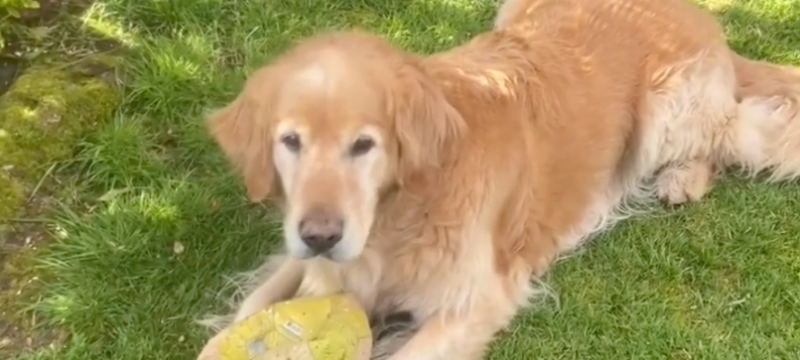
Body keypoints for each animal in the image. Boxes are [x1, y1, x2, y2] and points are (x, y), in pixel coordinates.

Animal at [195, 0, 800, 360]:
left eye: (364, 145)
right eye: (290, 141)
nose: (321, 234)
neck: (399, 219)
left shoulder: (478, 299)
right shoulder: (312, 258)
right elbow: (254, 304)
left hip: (666, 112)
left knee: (740, 128)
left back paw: (685, 178)